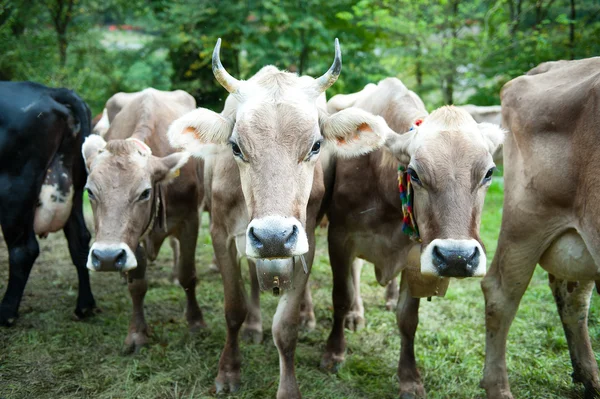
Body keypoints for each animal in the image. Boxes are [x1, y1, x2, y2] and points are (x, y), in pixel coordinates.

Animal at [0, 81, 96, 324]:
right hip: (75, 186)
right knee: (80, 239)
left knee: (23, 250)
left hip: (14, 187)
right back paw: (85, 305)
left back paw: (6, 313)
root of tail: (49, 90)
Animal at [81, 88, 206, 354]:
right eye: (90, 191)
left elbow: (187, 274)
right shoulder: (133, 238)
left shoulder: (191, 220)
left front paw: (196, 322)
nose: (106, 257)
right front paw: (137, 333)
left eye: (145, 192)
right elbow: (137, 285)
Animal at [166, 38, 396, 399]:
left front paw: (289, 386)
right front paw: (229, 370)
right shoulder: (221, 234)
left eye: (316, 145)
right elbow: (234, 308)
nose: (273, 236)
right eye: (235, 146)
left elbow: (286, 328)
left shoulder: (306, 240)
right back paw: (254, 325)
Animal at [322, 76, 504, 398]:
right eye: (414, 173)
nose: (456, 257)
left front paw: (409, 378)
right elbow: (340, 296)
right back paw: (356, 314)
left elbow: (408, 318)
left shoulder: (414, 254)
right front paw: (334, 352)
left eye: (489, 172)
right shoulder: (339, 236)